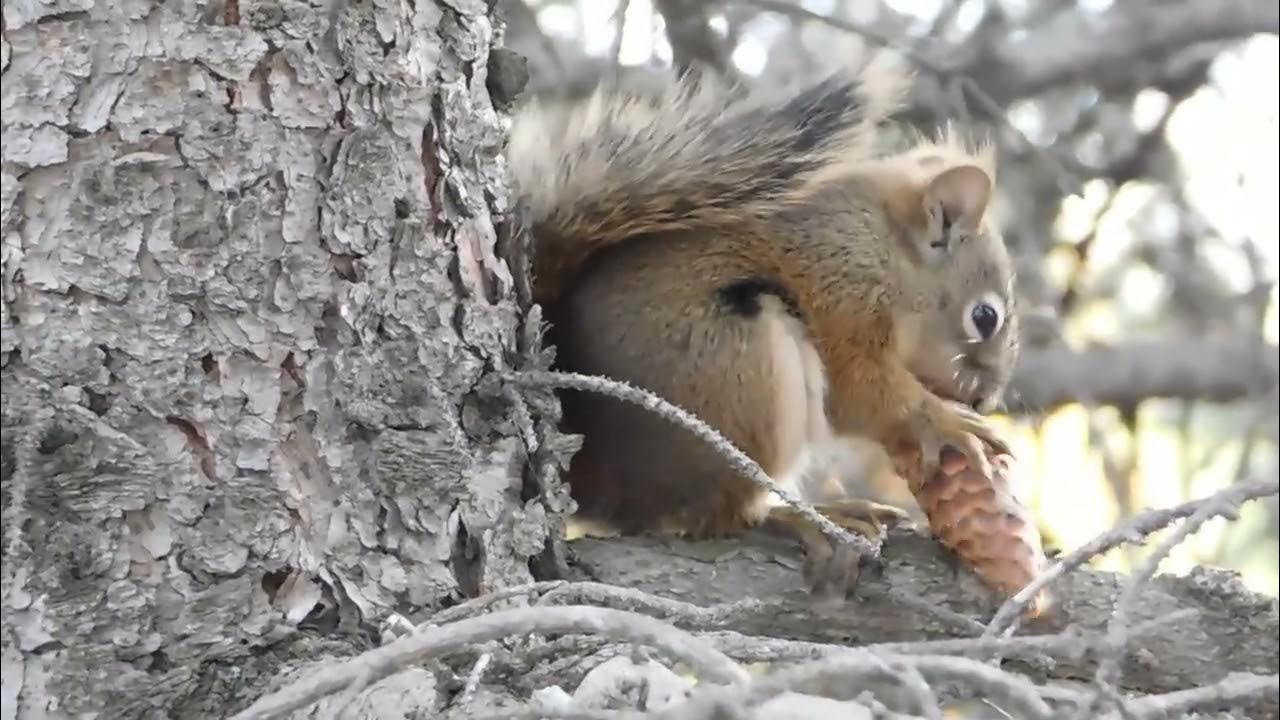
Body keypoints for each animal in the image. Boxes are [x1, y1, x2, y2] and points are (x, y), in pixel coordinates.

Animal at [507, 53, 1019, 592]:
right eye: (985, 317)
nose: (987, 400)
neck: (879, 248)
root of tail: (600, 483)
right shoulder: (838, 297)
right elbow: (862, 392)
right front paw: (946, 420)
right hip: (741, 371)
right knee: (723, 516)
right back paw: (804, 515)